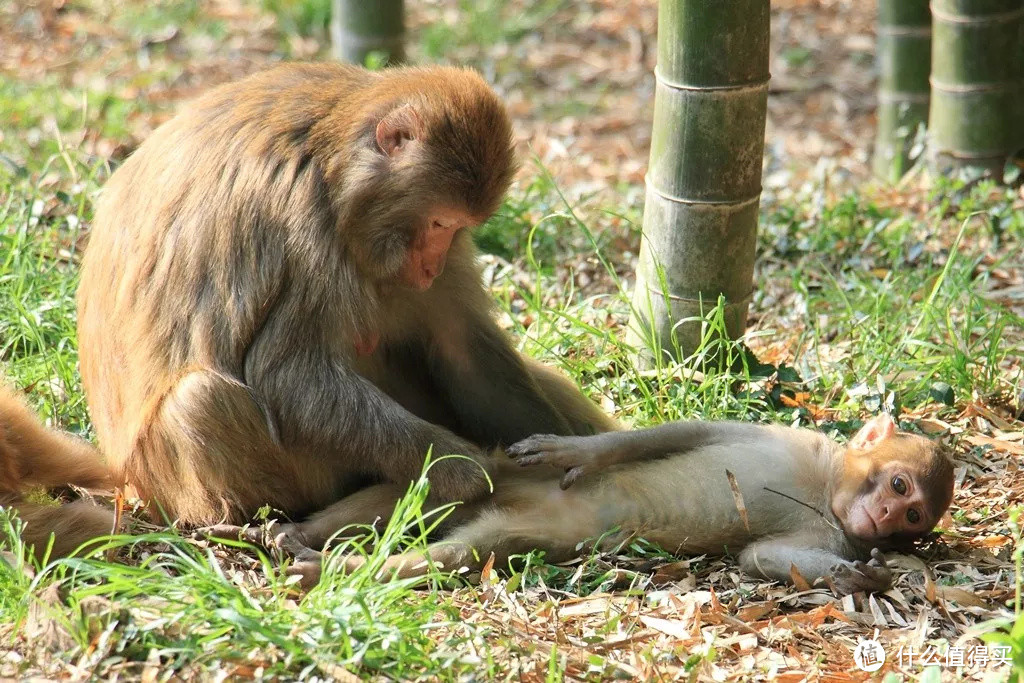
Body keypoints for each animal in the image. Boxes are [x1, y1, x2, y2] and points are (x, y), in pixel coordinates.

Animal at [2, 61, 614, 557]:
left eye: (459, 227)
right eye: (439, 221)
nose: (430, 265)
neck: (334, 162)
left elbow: (461, 349)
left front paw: (566, 454)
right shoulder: (303, 221)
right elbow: (287, 374)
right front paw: (463, 471)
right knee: (203, 400)